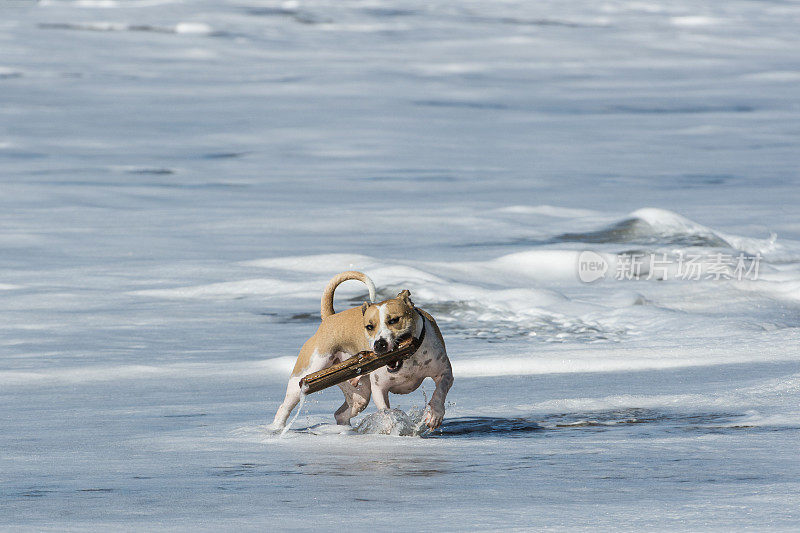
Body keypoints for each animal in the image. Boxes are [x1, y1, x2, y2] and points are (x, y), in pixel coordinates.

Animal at [272, 272, 454, 430]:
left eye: (394, 320)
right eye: (369, 326)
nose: (379, 344)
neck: (408, 358)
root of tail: (329, 318)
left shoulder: (444, 372)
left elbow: (440, 391)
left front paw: (434, 415)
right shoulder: (379, 388)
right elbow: (385, 411)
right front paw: (393, 425)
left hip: (359, 395)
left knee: (341, 414)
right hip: (305, 376)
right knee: (284, 407)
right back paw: (276, 429)